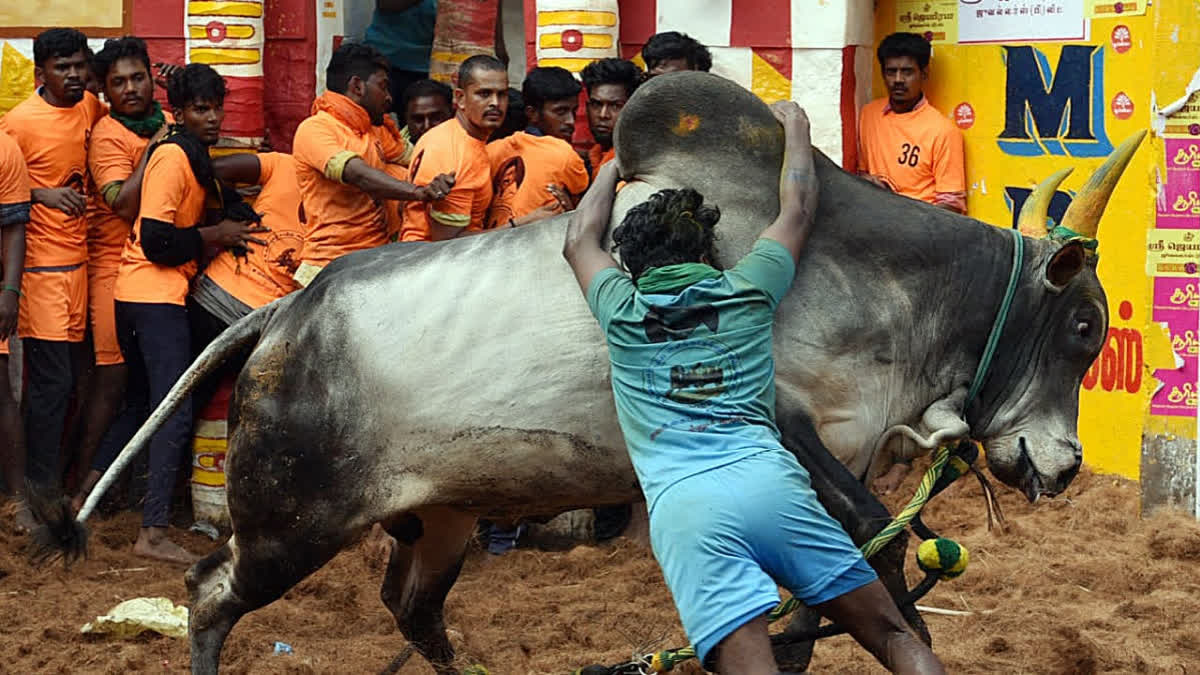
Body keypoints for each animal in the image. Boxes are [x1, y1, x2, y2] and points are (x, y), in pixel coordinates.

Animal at [42, 70, 1137, 667]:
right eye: (1084, 327)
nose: (1066, 466)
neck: (873, 270)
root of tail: (283, 314)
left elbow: (858, 580)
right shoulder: (795, 431)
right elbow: (886, 564)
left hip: (441, 519)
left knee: (411, 610)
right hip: (290, 524)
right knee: (209, 593)